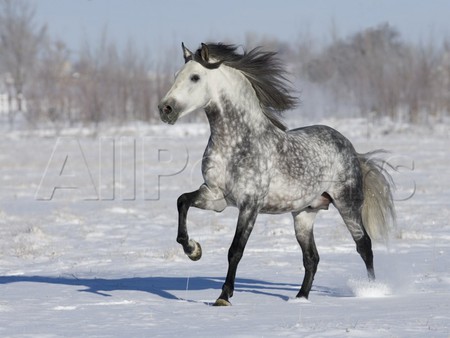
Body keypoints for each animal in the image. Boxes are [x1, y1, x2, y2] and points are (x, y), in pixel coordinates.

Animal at [157, 42, 394, 306]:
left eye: (195, 77)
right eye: (176, 75)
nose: (165, 109)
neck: (237, 143)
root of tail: (350, 147)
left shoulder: (250, 205)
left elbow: (235, 250)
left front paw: (223, 296)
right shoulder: (216, 197)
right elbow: (182, 201)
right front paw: (193, 250)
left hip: (347, 204)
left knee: (364, 246)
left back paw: (371, 291)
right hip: (304, 214)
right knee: (312, 258)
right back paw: (300, 298)